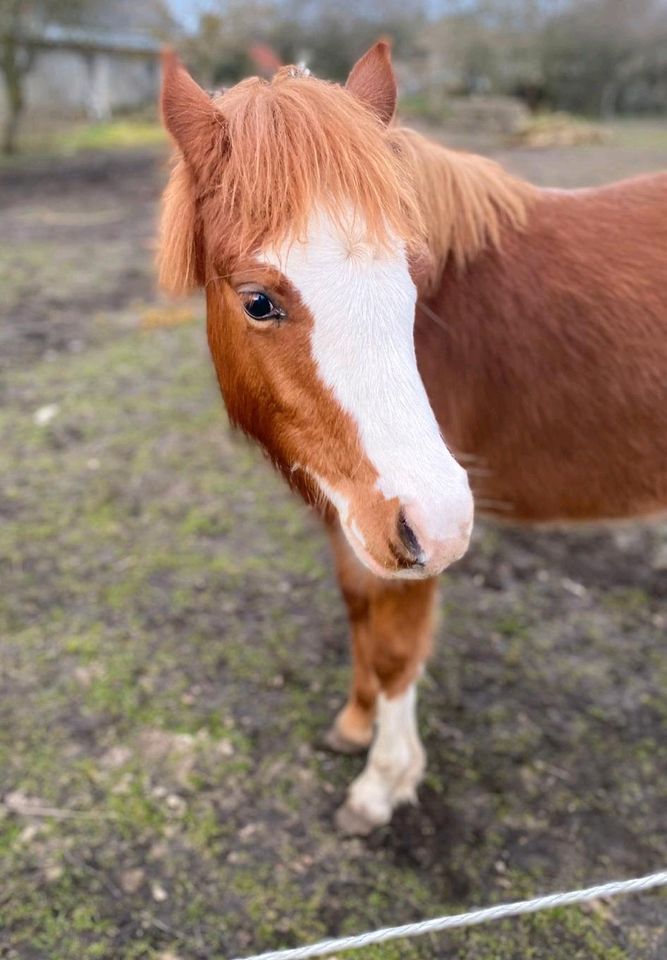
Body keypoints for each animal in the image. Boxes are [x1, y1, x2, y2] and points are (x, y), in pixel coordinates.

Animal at [158, 41, 667, 832]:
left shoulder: (406, 541)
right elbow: (358, 616)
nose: (445, 521)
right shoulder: (358, 517)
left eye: (412, 279)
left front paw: (382, 781)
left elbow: (396, 649)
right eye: (258, 301)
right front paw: (355, 725)